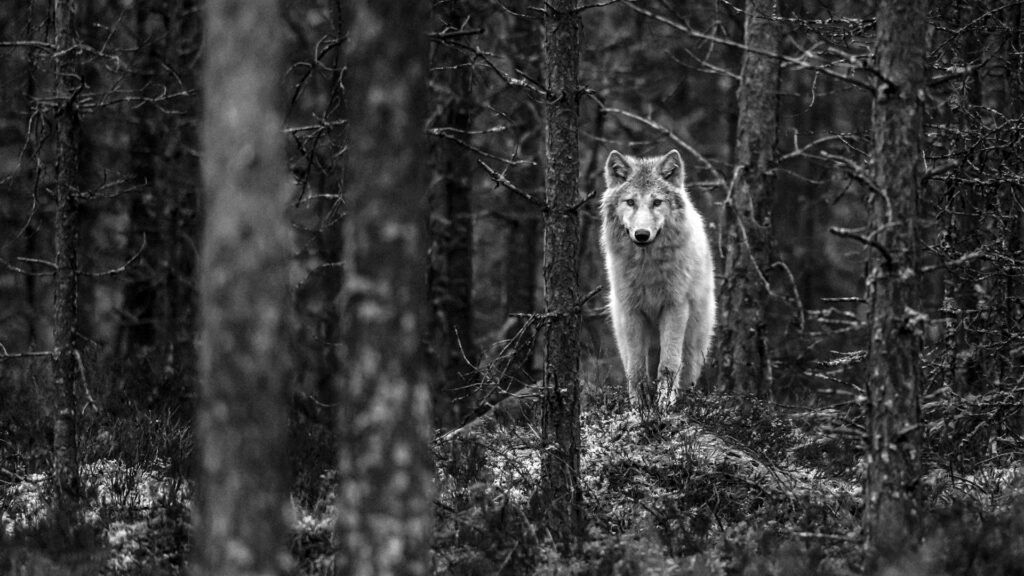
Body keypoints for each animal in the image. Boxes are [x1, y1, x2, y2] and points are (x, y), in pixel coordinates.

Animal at [600, 149, 716, 410]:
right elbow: (636, 370)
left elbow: (668, 365)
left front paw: (663, 406)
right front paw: (640, 408)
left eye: (657, 202)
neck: (648, 268)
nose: (642, 234)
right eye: (630, 202)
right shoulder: (631, 311)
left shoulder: (675, 307)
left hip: (694, 345)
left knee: (685, 372)